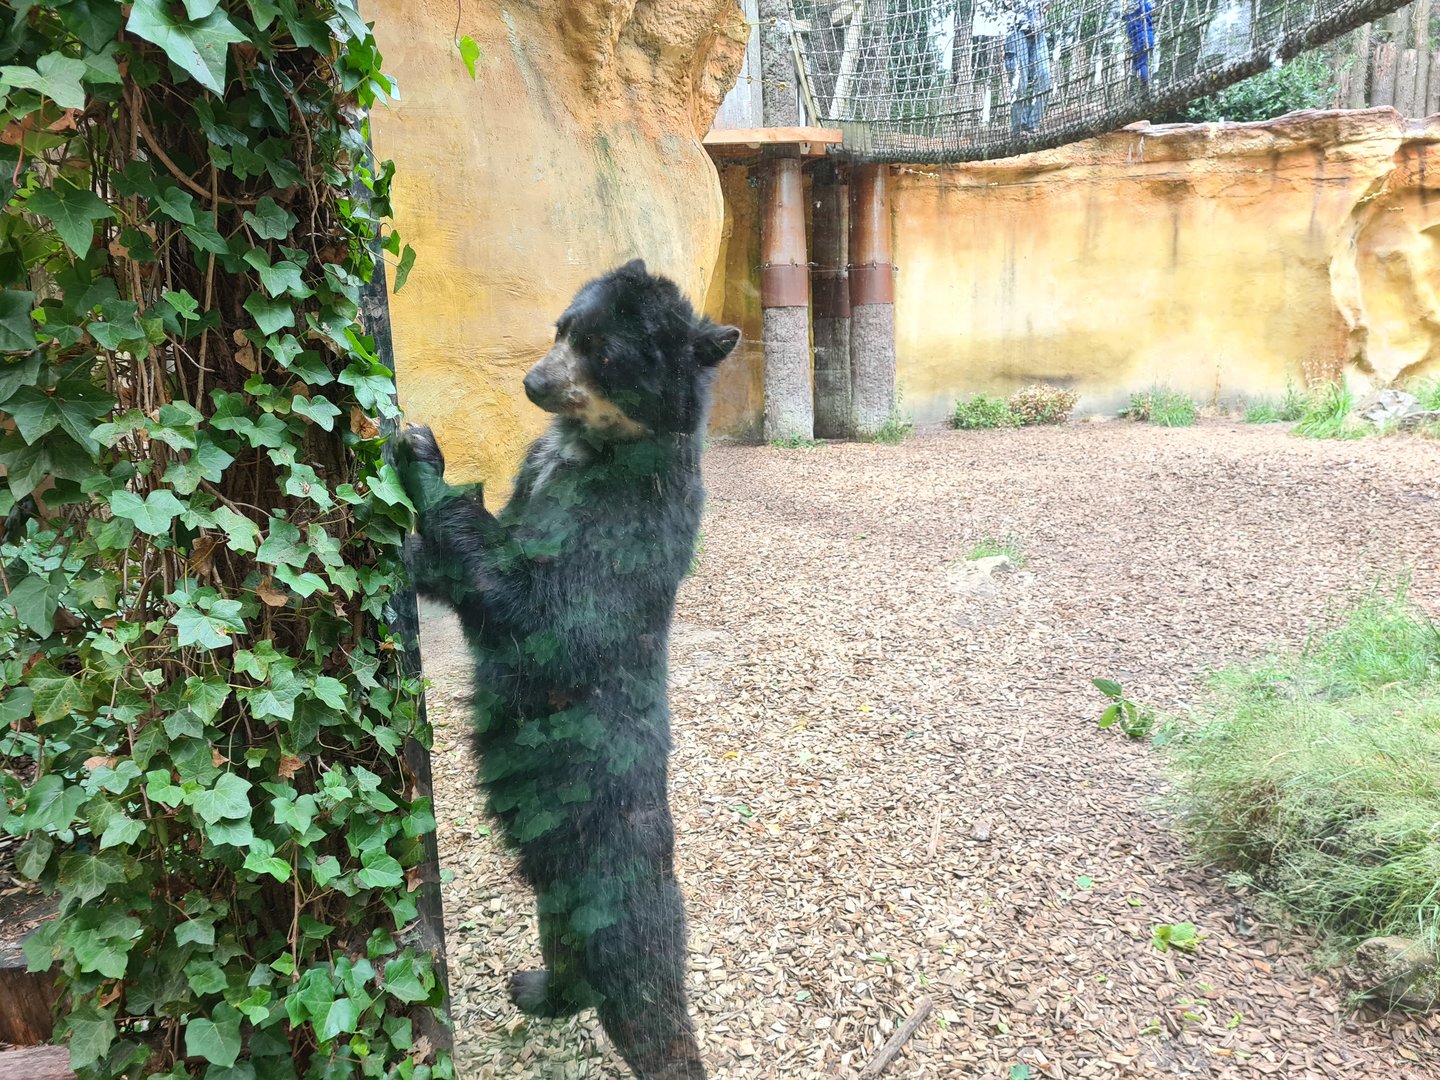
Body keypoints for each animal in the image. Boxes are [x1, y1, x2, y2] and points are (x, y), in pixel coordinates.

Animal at [389, 260, 738, 1079]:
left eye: (605, 353)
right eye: (565, 328)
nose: (533, 382)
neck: (591, 446)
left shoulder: (624, 524)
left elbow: (543, 614)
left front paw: (422, 451)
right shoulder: (537, 476)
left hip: (618, 909)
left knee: (646, 1008)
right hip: (558, 900)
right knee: (568, 962)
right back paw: (531, 986)